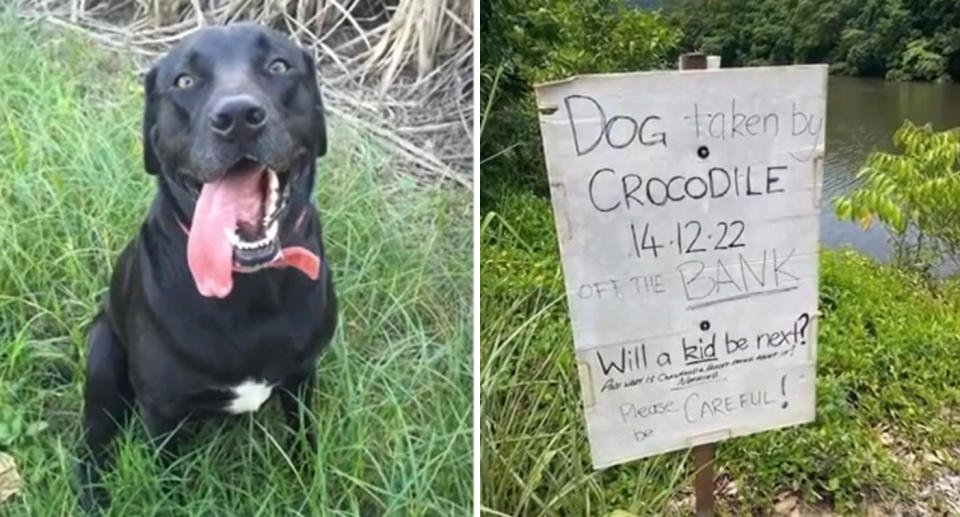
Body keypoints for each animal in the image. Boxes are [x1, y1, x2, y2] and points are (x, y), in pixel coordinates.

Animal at [80, 22, 340, 510]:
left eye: (279, 66)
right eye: (184, 81)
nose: (237, 116)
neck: (248, 287)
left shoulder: (302, 376)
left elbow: (303, 439)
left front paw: (310, 488)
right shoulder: (160, 410)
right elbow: (168, 476)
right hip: (102, 355)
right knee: (92, 440)